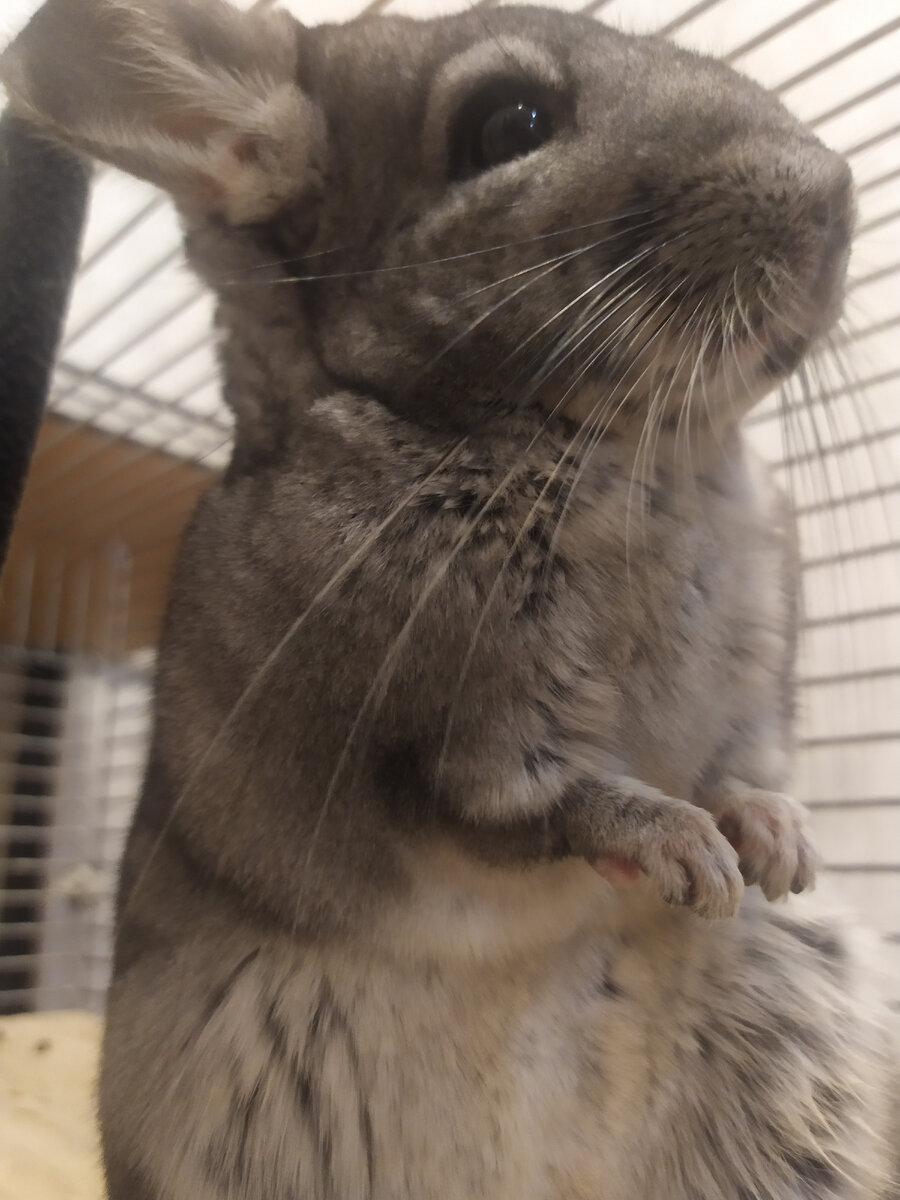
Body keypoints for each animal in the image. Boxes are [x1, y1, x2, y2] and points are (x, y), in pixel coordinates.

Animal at [2, 1, 897, 1196]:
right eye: (505, 124)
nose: (834, 189)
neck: (641, 454)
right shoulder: (443, 741)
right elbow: (544, 806)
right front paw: (689, 853)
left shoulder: (757, 691)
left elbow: (747, 770)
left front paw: (780, 842)